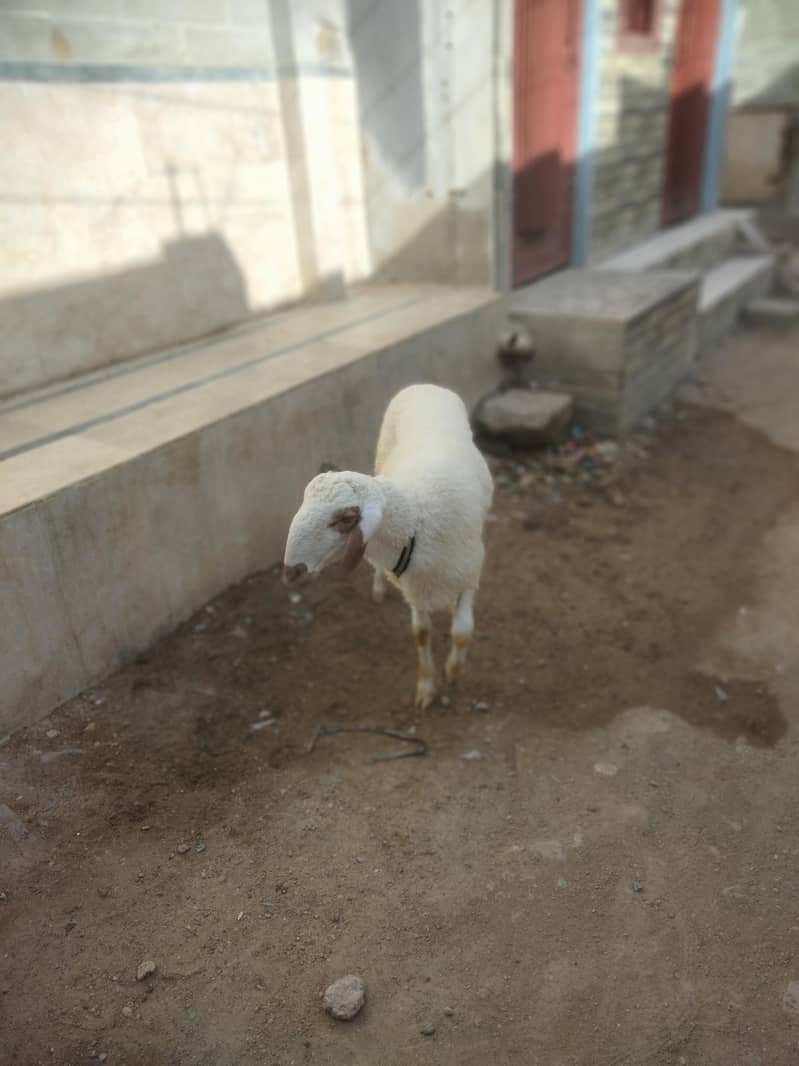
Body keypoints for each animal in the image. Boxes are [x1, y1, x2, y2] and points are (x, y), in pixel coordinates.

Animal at [283, 383, 494, 709]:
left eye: (345, 518)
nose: (290, 571)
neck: (418, 517)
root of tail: (424, 385)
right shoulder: (415, 588)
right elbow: (421, 634)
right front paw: (426, 687)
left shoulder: (469, 574)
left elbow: (461, 632)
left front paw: (454, 673)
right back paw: (379, 587)